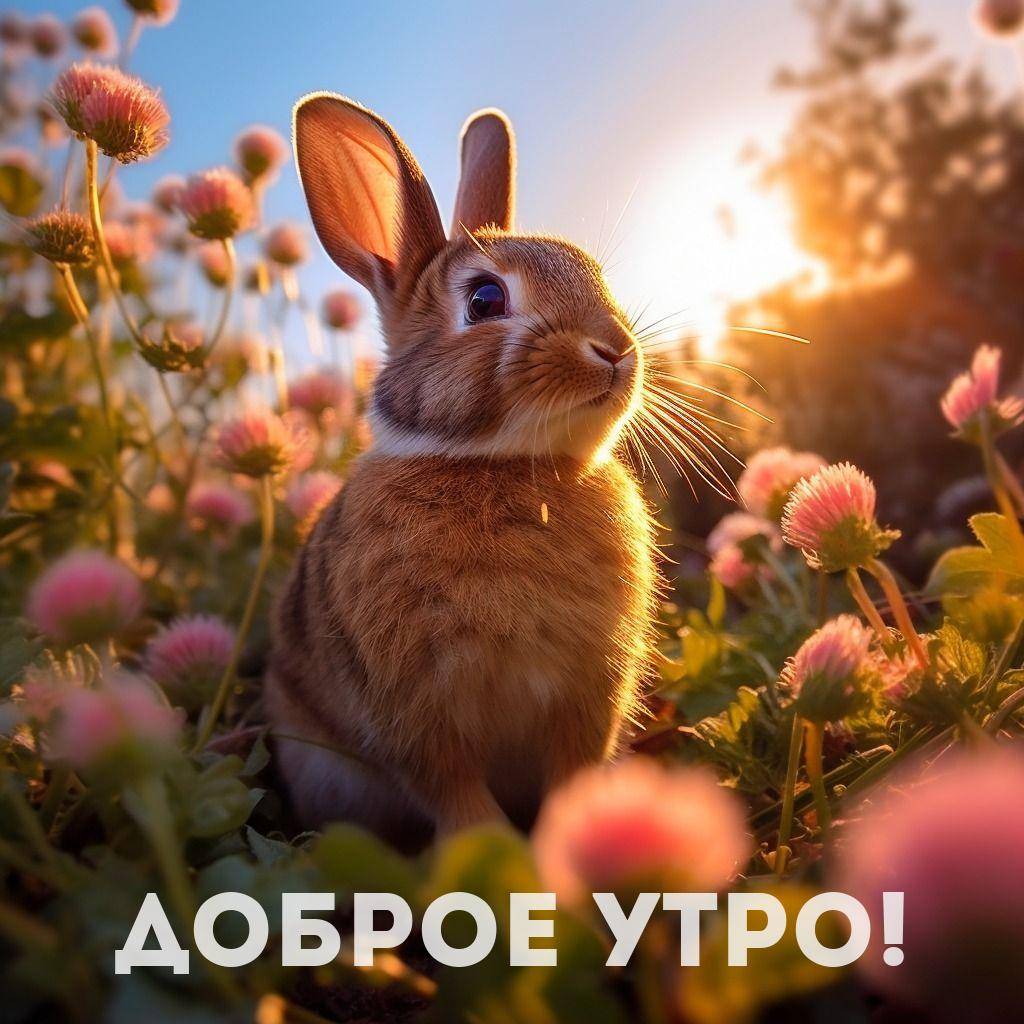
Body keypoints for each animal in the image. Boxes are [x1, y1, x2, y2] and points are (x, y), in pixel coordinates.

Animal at [267, 93, 659, 847]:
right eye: (484, 300)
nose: (617, 349)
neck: (500, 465)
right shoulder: (414, 718)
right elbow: (461, 805)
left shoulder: (587, 697)